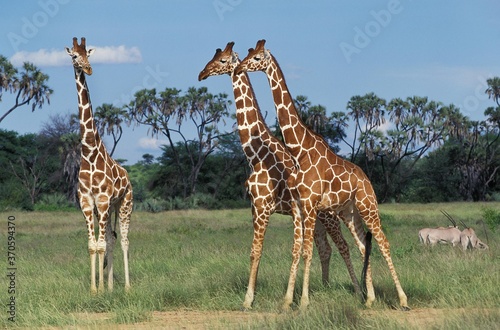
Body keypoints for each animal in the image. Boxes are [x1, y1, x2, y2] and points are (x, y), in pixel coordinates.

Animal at [66, 38, 133, 294]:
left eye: (89, 54)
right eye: (75, 56)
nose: (88, 69)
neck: (89, 151)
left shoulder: (103, 201)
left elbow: (101, 244)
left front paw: (102, 289)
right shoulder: (88, 203)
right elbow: (92, 245)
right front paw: (96, 289)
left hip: (125, 204)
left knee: (123, 240)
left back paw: (127, 287)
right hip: (110, 208)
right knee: (112, 238)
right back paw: (113, 285)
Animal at [197, 42, 362, 310]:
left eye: (222, 60)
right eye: (213, 56)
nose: (202, 74)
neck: (255, 155)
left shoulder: (264, 206)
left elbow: (257, 251)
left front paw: (248, 300)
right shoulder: (254, 206)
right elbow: (257, 251)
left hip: (327, 215)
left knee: (342, 245)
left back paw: (357, 291)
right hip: (316, 218)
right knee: (324, 248)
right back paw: (324, 287)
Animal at [236, 40, 408, 310]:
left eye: (256, 57)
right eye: (247, 54)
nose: (239, 67)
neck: (299, 151)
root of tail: (366, 179)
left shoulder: (309, 205)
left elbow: (308, 250)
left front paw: (303, 302)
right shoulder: (300, 206)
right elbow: (302, 250)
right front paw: (289, 301)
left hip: (367, 206)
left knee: (383, 242)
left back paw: (402, 299)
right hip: (349, 212)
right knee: (363, 245)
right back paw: (369, 299)